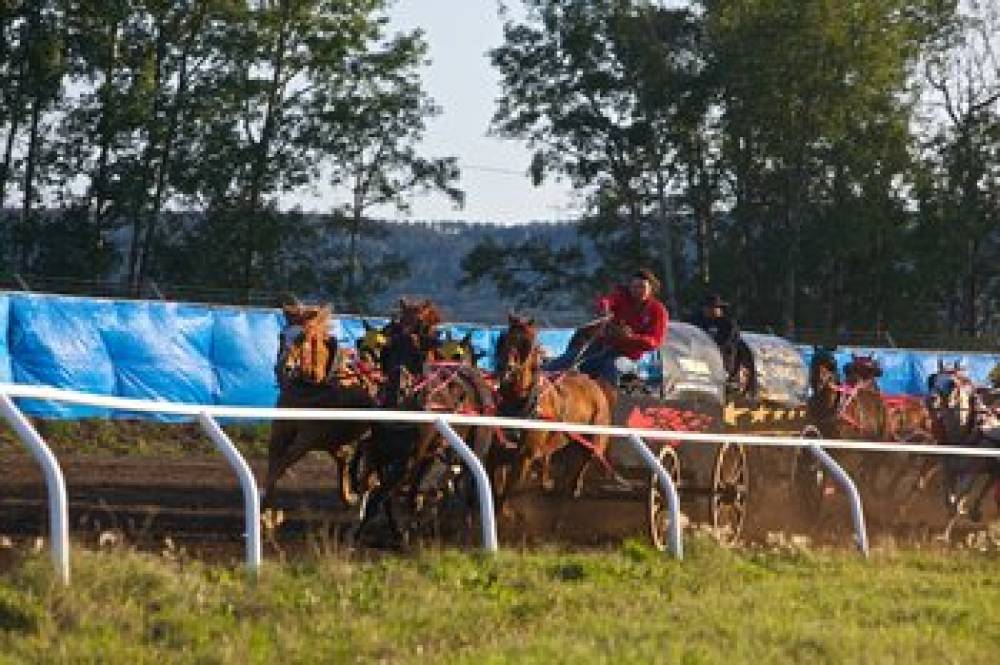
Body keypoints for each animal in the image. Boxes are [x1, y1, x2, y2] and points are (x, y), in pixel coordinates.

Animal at [264, 304, 376, 508]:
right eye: (281, 335)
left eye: (302, 338)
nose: (282, 368)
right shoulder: (280, 432)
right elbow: (274, 466)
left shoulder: (309, 438)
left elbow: (282, 464)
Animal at [492, 314, 616, 510]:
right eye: (503, 339)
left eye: (528, 344)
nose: (506, 368)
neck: (521, 403)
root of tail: (595, 385)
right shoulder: (499, 450)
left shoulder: (524, 457)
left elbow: (505, 493)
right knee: (552, 457)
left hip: (594, 437)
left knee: (587, 458)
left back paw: (575, 486)